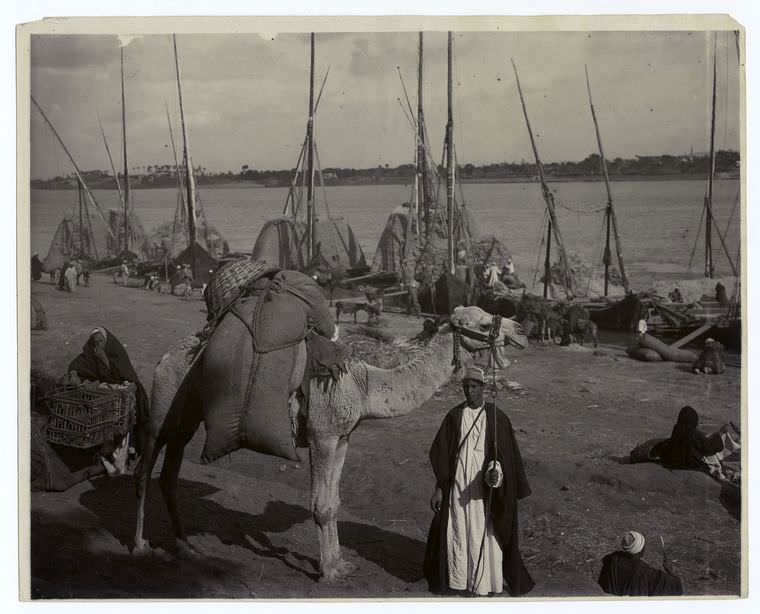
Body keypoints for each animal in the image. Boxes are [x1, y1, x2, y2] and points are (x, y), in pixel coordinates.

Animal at [135, 306, 528, 584]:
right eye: (481, 324)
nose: (521, 330)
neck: (365, 383)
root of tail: (168, 355)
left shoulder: (343, 436)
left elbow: (334, 501)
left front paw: (340, 562)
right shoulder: (321, 434)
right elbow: (321, 505)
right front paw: (328, 572)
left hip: (187, 418)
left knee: (169, 473)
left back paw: (185, 545)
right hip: (163, 407)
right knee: (144, 467)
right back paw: (141, 547)